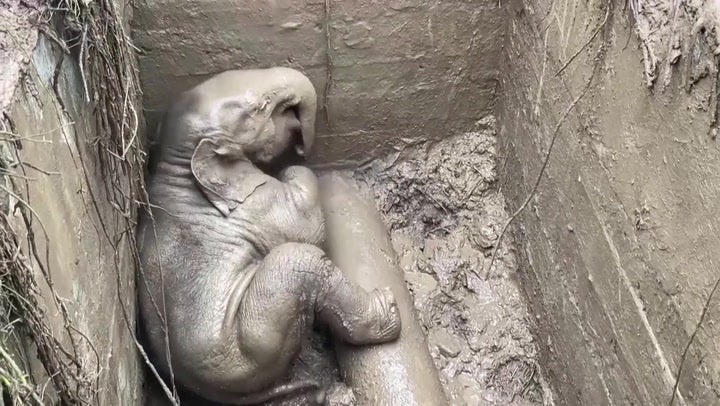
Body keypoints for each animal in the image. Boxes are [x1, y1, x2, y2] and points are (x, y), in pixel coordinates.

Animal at [136, 67, 402, 405]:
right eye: (260, 107)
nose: (300, 141)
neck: (175, 165)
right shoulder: (256, 205)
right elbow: (307, 221)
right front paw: (292, 167)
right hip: (260, 334)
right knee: (301, 260)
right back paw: (388, 308)